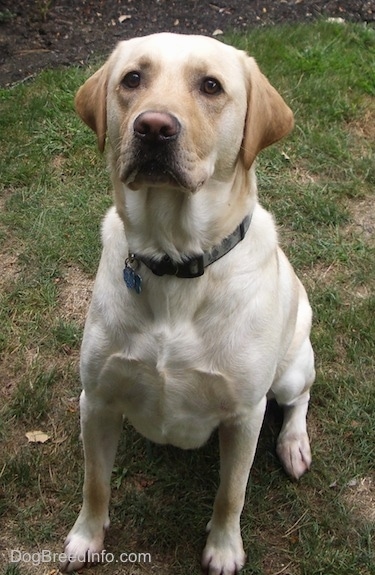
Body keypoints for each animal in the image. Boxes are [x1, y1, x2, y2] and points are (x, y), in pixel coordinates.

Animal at [60, 33, 316, 572]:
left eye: (211, 86)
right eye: (132, 78)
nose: (154, 127)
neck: (173, 259)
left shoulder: (243, 415)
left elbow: (231, 493)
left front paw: (224, 548)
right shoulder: (101, 399)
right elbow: (95, 483)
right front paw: (85, 537)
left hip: (290, 369)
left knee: (298, 398)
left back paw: (293, 444)